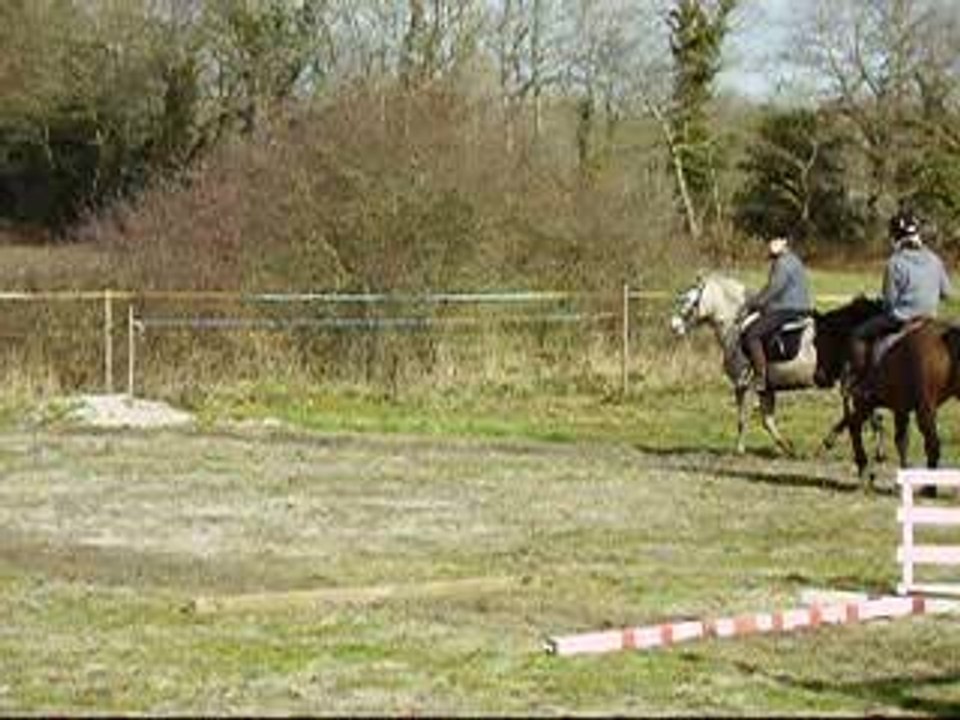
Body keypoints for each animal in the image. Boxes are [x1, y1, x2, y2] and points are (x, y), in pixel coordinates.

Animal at [670, 272, 883, 456]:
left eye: (689, 300)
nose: (674, 326)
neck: (735, 327)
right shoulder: (766, 389)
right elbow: (767, 421)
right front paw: (788, 447)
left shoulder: (743, 385)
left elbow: (743, 418)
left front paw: (739, 449)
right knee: (868, 411)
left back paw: (828, 443)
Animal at [813, 296, 960, 492]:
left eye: (817, 340)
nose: (818, 378)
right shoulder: (900, 408)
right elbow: (902, 440)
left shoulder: (864, 401)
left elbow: (854, 426)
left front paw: (864, 468)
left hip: (924, 410)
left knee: (933, 444)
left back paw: (930, 488)